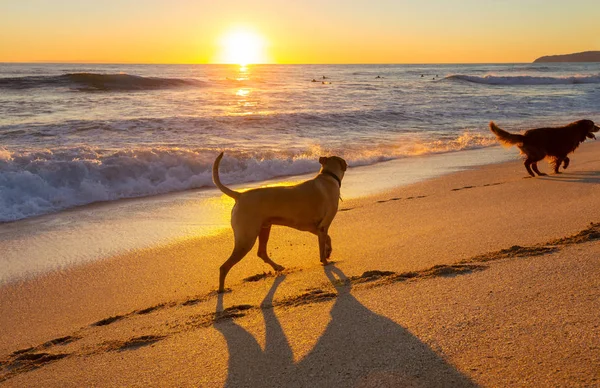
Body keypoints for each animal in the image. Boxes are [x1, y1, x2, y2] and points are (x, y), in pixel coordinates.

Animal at [214, 153, 346, 292]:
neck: (328, 176)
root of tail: (239, 195)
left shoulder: (315, 228)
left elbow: (328, 238)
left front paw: (328, 251)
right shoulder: (323, 226)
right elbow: (323, 243)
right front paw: (325, 261)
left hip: (264, 229)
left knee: (261, 252)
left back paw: (277, 267)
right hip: (247, 239)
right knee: (224, 267)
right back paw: (222, 289)